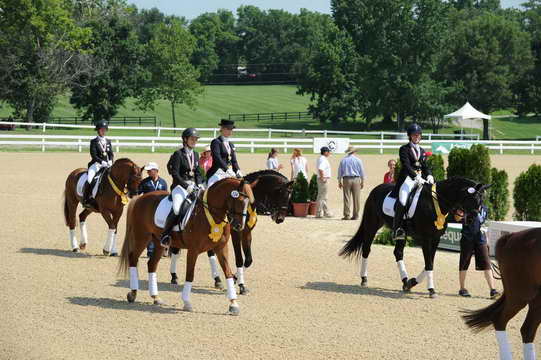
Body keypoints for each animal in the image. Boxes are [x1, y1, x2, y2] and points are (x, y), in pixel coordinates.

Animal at [118, 177, 255, 316]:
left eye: (249, 202)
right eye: (239, 200)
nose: (239, 226)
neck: (210, 214)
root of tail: (140, 198)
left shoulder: (221, 248)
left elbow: (228, 273)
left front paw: (233, 304)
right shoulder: (193, 250)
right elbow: (190, 275)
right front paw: (187, 302)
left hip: (159, 243)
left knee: (152, 264)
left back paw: (155, 297)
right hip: (142, 237)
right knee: (133, 259)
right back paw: (133, 293)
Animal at [340, 177, 488, 298]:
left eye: (481, 200)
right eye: (472, 199)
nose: (472, 219)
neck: (437, 203)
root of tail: (376, 189)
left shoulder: (435, 238)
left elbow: (430, 263)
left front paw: (412, 282)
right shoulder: (426, 238)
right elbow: (429, 263)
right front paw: (431, 290)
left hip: (402, 233)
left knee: (398, 253)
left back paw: (405, 282)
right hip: (372, 225)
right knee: (366, 249)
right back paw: (364, 279)